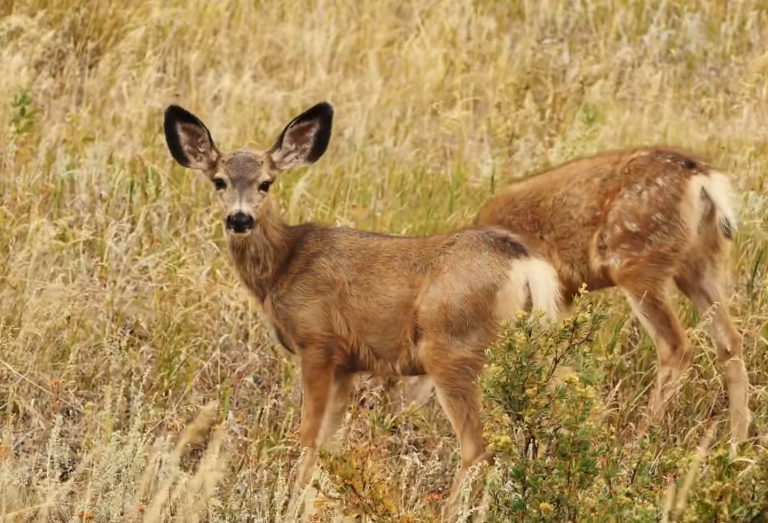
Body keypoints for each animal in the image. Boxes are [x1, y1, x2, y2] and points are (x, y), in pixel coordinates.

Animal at [162, 101, 563, 518]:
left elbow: (309, 436)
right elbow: (330, 442)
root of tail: (525, 264)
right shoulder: (347, 363)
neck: (283, 267)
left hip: (454, 351)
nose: (240, 219)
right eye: (219, 181)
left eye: (266, 183)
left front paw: (290, 504)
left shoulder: (317, 342)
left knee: (478, 447)